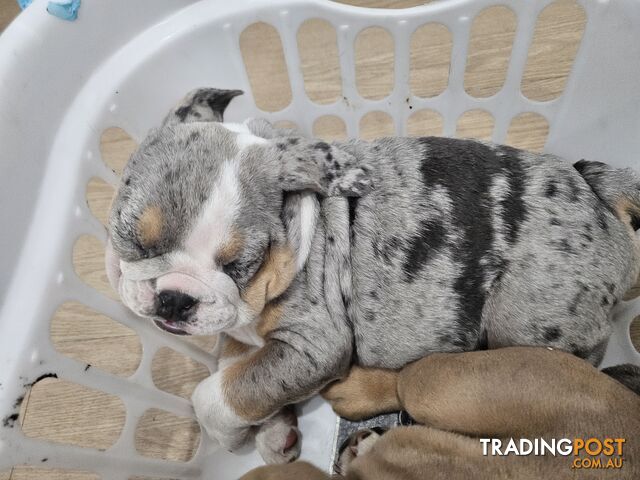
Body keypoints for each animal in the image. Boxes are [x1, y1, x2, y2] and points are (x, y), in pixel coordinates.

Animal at [106, 88, 640, 464]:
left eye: (241, 264)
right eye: (131, 236)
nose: (175, 298)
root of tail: (601, 204)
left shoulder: (313, 345)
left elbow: (221, 391)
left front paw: (231, 432)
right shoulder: (244, 332)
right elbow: (236, 366)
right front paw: (275, 432)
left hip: (525, 326)